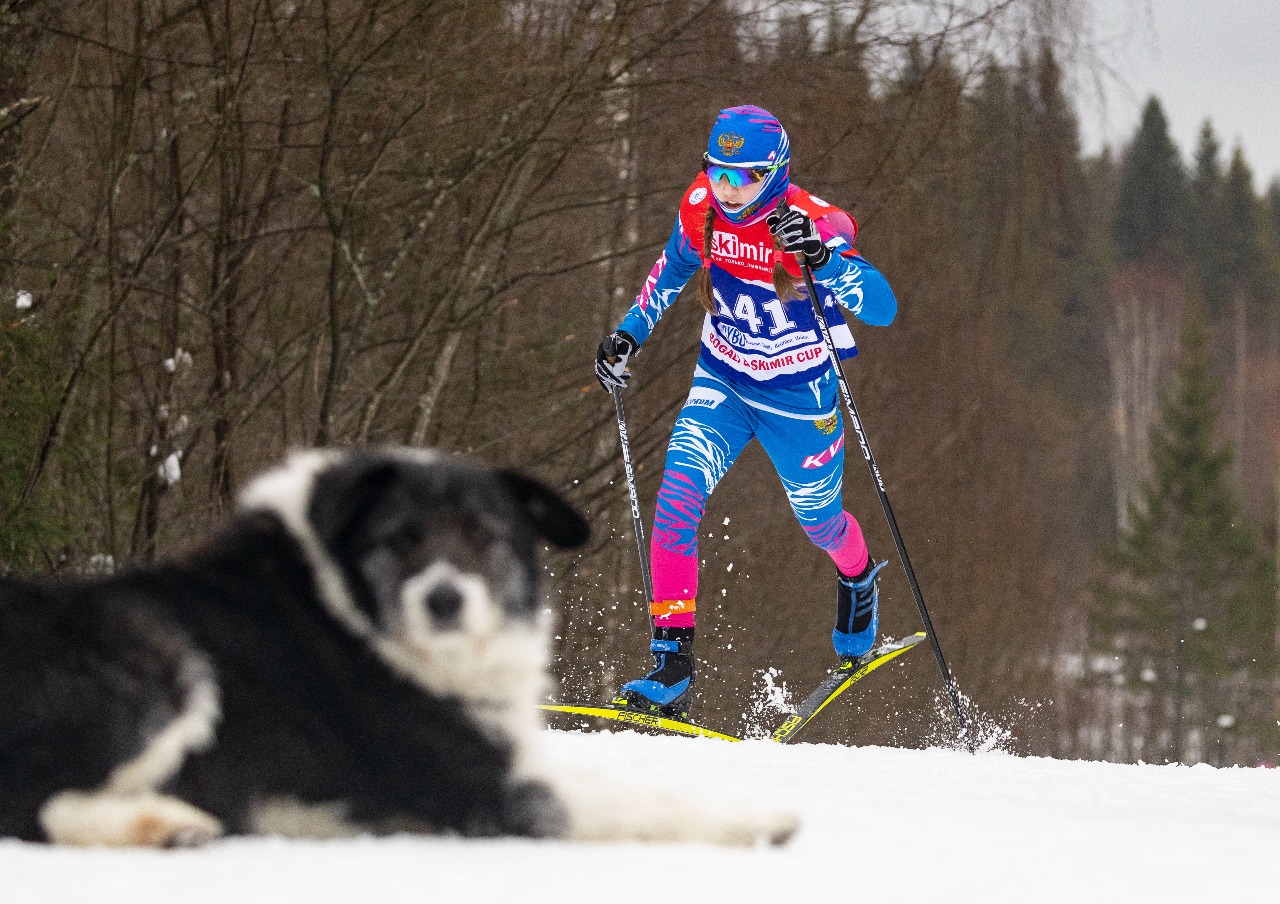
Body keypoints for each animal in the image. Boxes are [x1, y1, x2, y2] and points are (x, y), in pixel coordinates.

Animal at [0, 448, 793, 850]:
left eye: (485, 535)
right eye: (399, 537)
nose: (444, 600)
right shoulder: (482, 786)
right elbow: (642, 803)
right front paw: (759, 819)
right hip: (162, 658)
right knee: (35, 804)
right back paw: (167, 823)